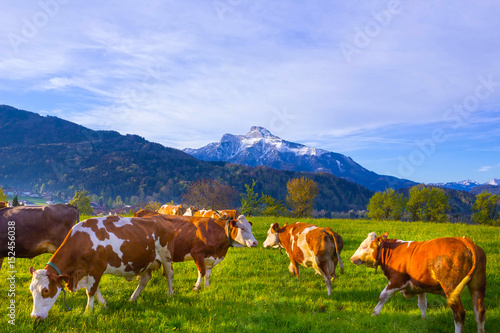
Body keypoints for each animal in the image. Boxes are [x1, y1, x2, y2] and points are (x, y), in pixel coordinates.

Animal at [28, 214, 176, 320]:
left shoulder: (96, 268)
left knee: (169, 275)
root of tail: (160, 218)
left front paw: (88, 311)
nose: (34, 317)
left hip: (166, 255)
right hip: (144, 262)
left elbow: (91, 291)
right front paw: (104, 304)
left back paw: (170, 295)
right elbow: (95, 289)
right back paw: (132, 298)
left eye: (46, 290)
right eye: (31, 290)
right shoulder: (88, 272)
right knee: (145, 279)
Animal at [350, 231, 486, 332]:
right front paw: (423, 319)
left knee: (459, 313)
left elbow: (383, 296)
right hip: (477, 285)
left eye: (364, 246)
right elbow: (422, 304)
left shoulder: (397, 281)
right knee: (479, 312)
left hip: (451, 287)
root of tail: (463, 240)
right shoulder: (420, 286)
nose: (352, 258)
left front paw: (374, 314)